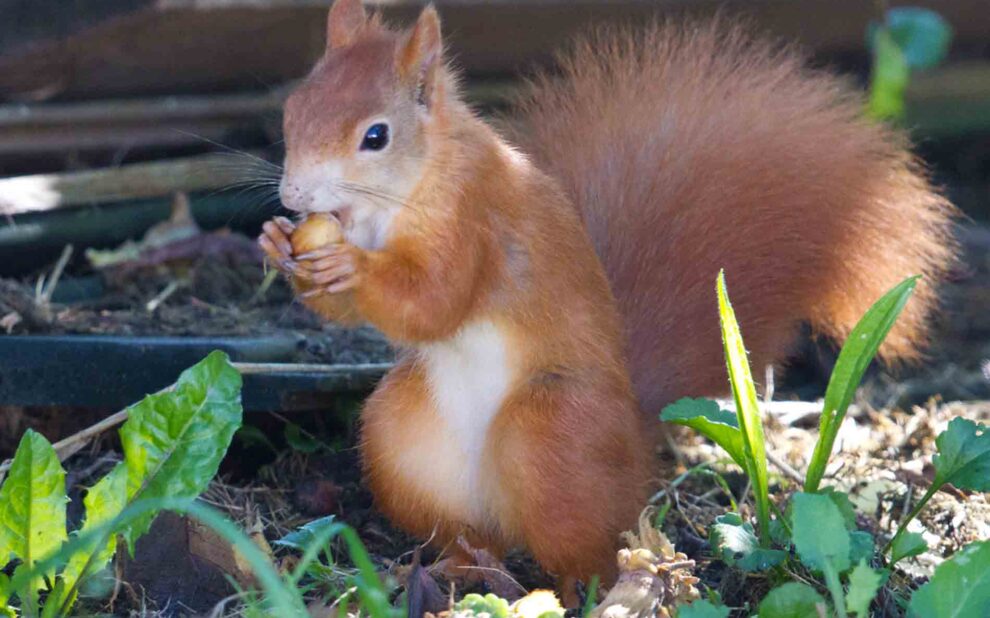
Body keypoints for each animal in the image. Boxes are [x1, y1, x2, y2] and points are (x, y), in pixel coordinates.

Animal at [259, 0, 955, 594]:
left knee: (585, 547)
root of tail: (635, 441)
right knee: (478, 534)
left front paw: (347, 265)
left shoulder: (476, 222)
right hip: (400, 441)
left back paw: (583, 590)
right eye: (292, 109)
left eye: (375, 136)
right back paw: (455, 566)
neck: (401, 194)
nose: (292, 196)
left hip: (552, 428)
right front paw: (278, 246)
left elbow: (435, 301)